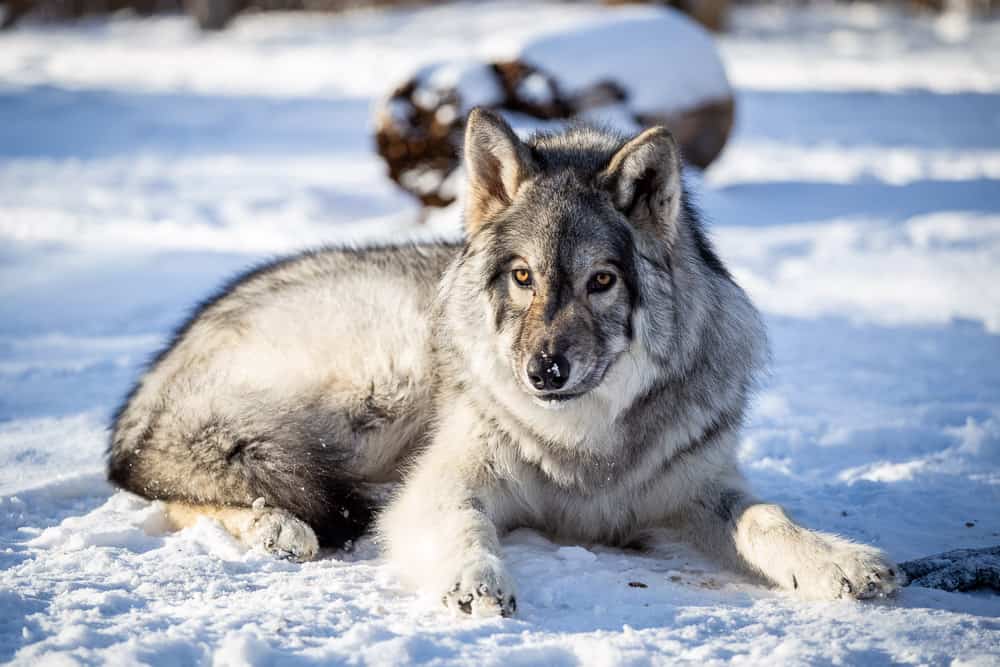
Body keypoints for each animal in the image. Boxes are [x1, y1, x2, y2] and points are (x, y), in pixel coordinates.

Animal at [105, 108, 904, 616]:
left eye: (601, 281)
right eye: (523, 277)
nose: (544, 371)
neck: (584, 445)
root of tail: (154, 374)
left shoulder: (690, 490)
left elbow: (767, 517)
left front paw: (839, 560)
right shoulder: (445, 480)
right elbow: (464, 525)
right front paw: (474, 580)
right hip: (387, 380)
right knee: (179, 487)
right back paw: (279, 528)